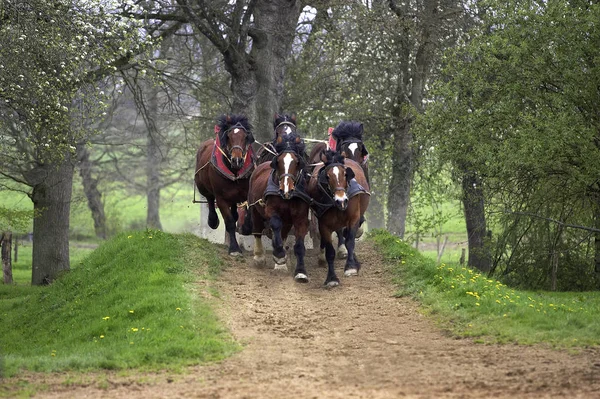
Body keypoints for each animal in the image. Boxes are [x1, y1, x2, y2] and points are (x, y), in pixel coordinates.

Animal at [195, 114, 255, 255]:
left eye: (245, 137)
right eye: (228, 137)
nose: (237, 160)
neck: (234, 171)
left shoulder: (247, 193)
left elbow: (247, 214)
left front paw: (247, 227)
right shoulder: (221, 198)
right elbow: (230, 222)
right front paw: (234, 248)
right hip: (203, 187)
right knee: (210, 199)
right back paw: (212, 220)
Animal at [244, 133, 312, 282]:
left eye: (296, 162)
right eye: (279, 162)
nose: (286, 189)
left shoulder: (301, 218)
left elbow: (299, 246)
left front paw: (301, 272)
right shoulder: (271, 211)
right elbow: (275, 225)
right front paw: (279, 254)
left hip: (287, 220)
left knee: (283, 233)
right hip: (255, 210)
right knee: (258, 231)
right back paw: (259, 257)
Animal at [310, 151, 370, 288]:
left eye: (345, 174)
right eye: (327, 176)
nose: (341, 200)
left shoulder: (353, 218)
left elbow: (350, 241)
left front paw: (351, 267)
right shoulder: (324, 224)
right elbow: (330, 252)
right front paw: (331, 278)